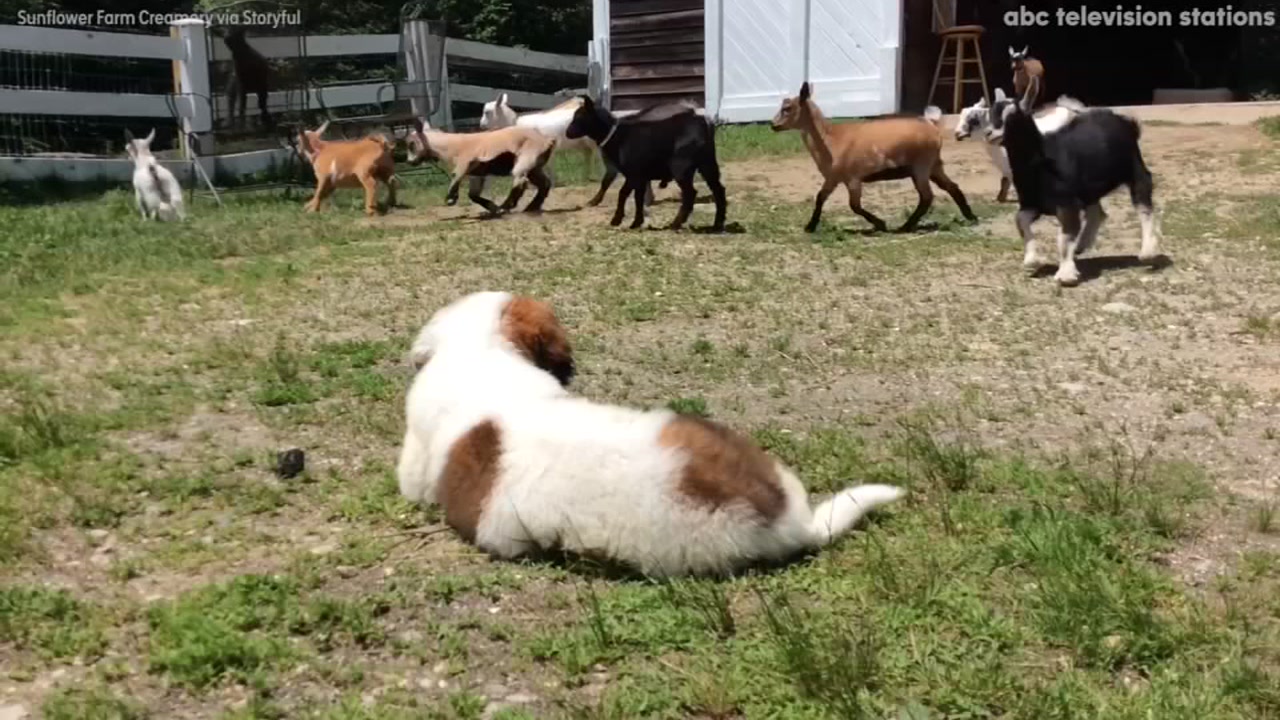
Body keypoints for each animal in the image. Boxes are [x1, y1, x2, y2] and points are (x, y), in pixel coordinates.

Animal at [405, 117, 557, 215]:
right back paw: (531, 206)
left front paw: (451, 198)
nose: (409, 162)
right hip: (535, 165)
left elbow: (455, 176)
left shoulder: (465, 162)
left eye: (411, 144)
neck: (449, 146)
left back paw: (506, 207)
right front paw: (492, 207)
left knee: (520, 181)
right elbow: (472, 195)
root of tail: (546, 140)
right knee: (544, 183)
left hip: (527, 157)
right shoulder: (476, 174)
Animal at [564, 96, 726, 232]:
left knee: (690, 193)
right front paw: (634, 222)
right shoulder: (638, 177)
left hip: (681, 167)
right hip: (708, 164)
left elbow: (625, 194)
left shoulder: (633, 174)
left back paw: (675, 223)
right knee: (718, 190)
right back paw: (717, 224)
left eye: (579, 117)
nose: (567, 133)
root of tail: (704, 122)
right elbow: (635, 197)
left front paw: (619, 220)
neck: (615, 135)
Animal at [771, 82, 976, 233]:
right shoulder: (834, 177)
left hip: (922, 165)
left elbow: (854, 205)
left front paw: (880, 224)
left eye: (787, 108)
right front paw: (810, 226)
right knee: (951, 187)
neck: (830, 138)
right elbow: (820, 197)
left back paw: (905, 226)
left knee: (927, 197)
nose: (773, 125)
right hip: (934, 165)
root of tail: (933, 126)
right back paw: (971, 217)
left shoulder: (853, 178)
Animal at [987, 76, 1161, 286]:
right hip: (1088, 188)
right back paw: (1082, 244)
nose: (989, 133)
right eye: (990, 113)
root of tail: (1127, 122)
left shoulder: (1067, 203)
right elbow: (1020, 220)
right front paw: (1031, 260)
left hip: (1134, 169)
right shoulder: (1032, 203)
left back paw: (1147, 252)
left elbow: (1064, 237)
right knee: (1097, 212)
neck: (1042, 163)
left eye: (1012, 116)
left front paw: (1066, 274)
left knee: (1143, 203)